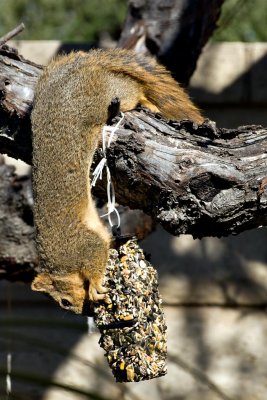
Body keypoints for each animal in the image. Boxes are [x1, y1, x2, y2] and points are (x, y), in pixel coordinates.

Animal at [30, 48, 204, 314]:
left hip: (110, 93)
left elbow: (94, 256)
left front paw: (94, 286)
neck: (60, 263)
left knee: (133, 89)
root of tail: (77, 70)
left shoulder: (79, 245)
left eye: (64, 301)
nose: (81, 311)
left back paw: (148, 103)